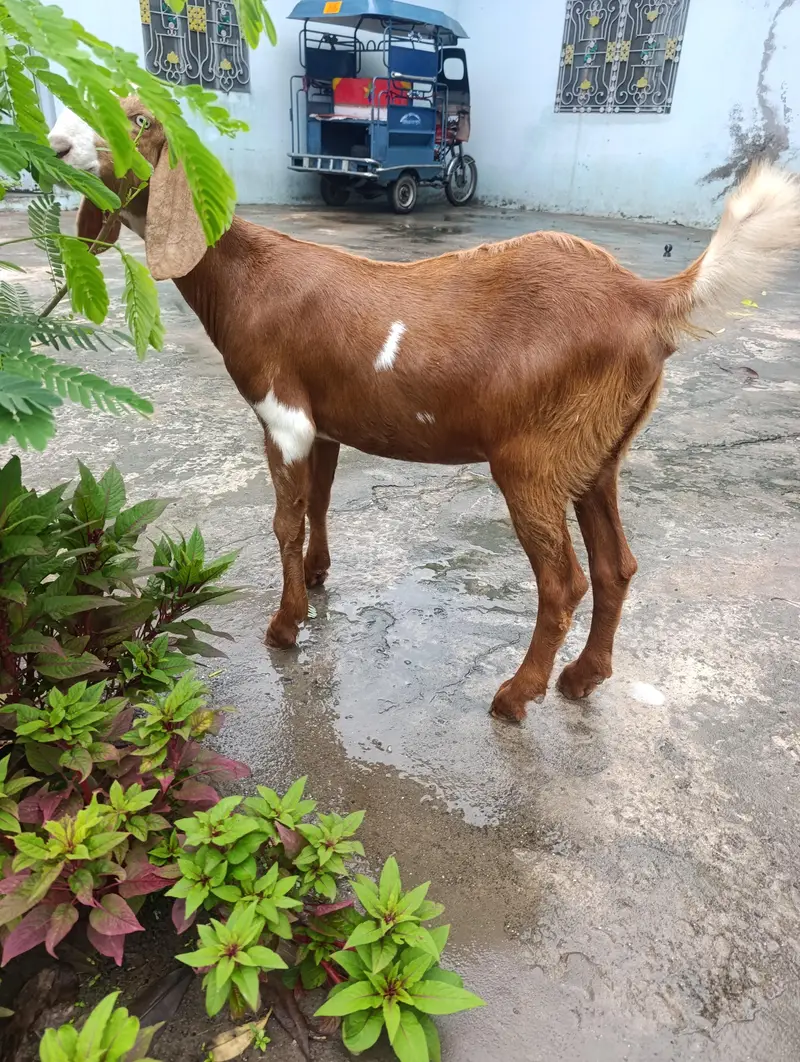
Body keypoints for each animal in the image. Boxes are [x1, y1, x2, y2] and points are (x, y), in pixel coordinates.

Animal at [48, 99, 800, 722]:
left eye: (139, 119)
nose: (55, 145)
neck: (246, 276)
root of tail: (646, 299)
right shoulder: (324, 419)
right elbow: (321, 501)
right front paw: (319, 578)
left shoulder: (282, 413)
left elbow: (285, 520)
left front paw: (285, 626)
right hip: (596, 451)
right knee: (617, 567)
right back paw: (582, 678)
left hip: (533, 459)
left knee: (564, 583)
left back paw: (516, 695)